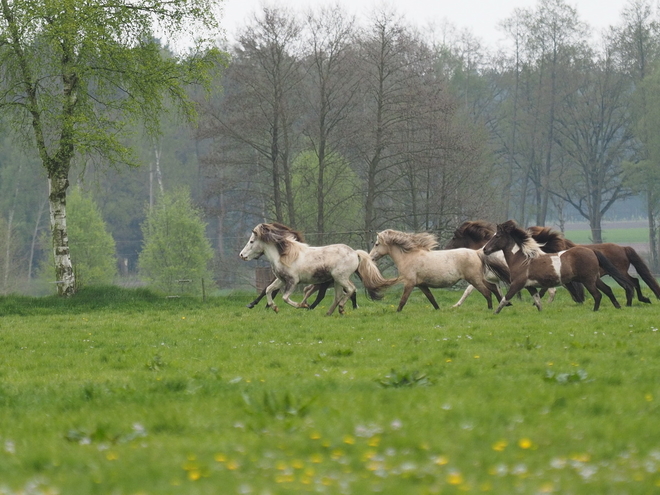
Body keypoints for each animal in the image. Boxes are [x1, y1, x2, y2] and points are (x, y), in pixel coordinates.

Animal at [238, 224, 398, 316]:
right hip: (336, 281)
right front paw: (274, 307)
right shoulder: (281, 280)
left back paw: (340, 308)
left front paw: (303, 305)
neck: (285, 255)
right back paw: (330, 312)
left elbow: (285, 297)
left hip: (340, 278)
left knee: (351, 290)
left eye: (251, 241)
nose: (241, 255)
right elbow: (268, 290)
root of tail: (355, 253)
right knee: (338, 296)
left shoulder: (292, 281)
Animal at [368, 228, 502, 310]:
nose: (370, 257)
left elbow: (403, 300)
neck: (408, 256)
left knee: (487, 292)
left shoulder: (409, 283)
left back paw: (490, 309)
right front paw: (438, 310)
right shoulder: (421, 284)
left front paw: (397, 312)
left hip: (474, 279)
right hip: (480, 278)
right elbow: (432, 299)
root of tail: (476, 252)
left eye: (377, 244)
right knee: (493, 288)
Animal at [484, 222, 636, 314]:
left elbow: (505, 299)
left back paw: (595, 311)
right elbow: (538, 301)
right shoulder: (530, 286)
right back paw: (617, 306)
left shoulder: (517, 284)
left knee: (598, 295)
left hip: (588, 280)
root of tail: (592, 251)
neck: (522, 260)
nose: (485, 249)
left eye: (497, 236)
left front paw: (495, 313)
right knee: (608, 290)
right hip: (595, 279)